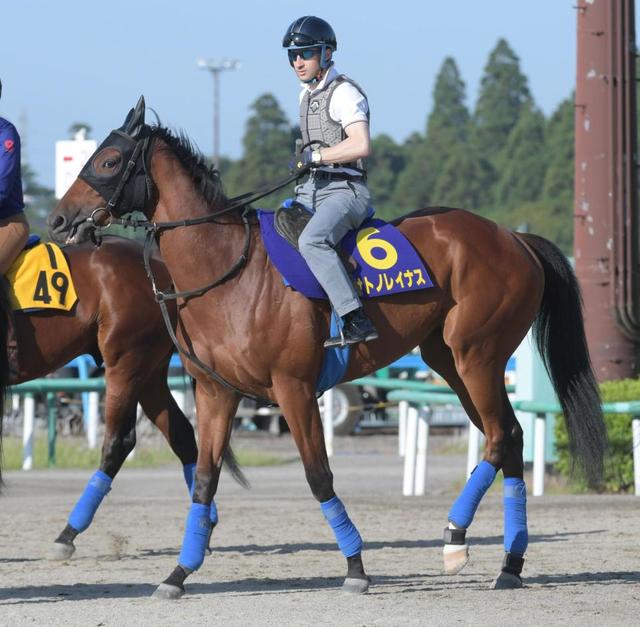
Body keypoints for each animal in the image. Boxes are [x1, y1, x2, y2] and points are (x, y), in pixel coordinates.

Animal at [0, 235, 241, 560]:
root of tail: (158, 263)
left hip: (126, 361)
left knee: (117, 443)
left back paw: (68, 534)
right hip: (149, 373)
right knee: (181, 434)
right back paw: (207, 523)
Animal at [47, 96, 606, 598]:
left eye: (108, 160)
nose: (58, 221)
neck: (227, 272)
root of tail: (513, 237)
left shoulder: (294, 389)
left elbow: (318, 476)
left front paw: (356, 567)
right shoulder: (215, 392)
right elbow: (204, 478)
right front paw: (179, 574)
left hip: (478, 356)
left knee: (498, 436)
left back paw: (455, 536)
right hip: (449, 361)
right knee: (509, 437)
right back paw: (510, 563)